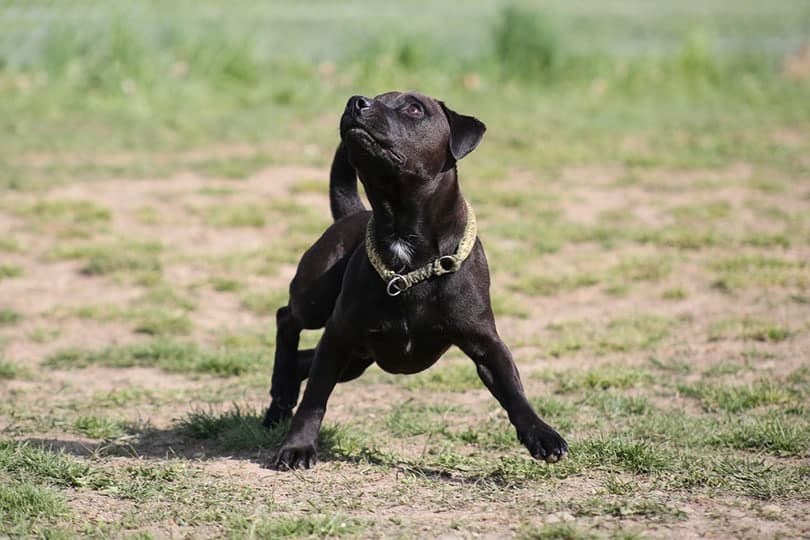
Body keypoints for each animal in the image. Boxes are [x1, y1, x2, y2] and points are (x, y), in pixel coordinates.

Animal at [262, 92, 564, 468]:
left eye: (414, 108)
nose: (356, 101)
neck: (405, 242)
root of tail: (351, 213)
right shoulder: (338, 334)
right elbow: (315, 399)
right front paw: (298, 447)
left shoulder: (485, 343)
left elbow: (514, 389)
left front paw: (542, 435)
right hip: (316, 302)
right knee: (287, 320)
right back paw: (281, 393)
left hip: (355, 360)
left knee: (303, 359)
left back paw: (280, 400)